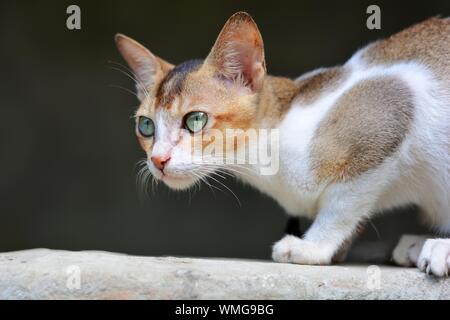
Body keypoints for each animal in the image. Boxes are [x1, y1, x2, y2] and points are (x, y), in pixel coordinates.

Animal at [116, 12, 450, 276]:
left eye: (195, 119)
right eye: (146, 126)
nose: (158, 160)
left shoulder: (391, 104)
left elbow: (343, 202)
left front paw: (314, 246)